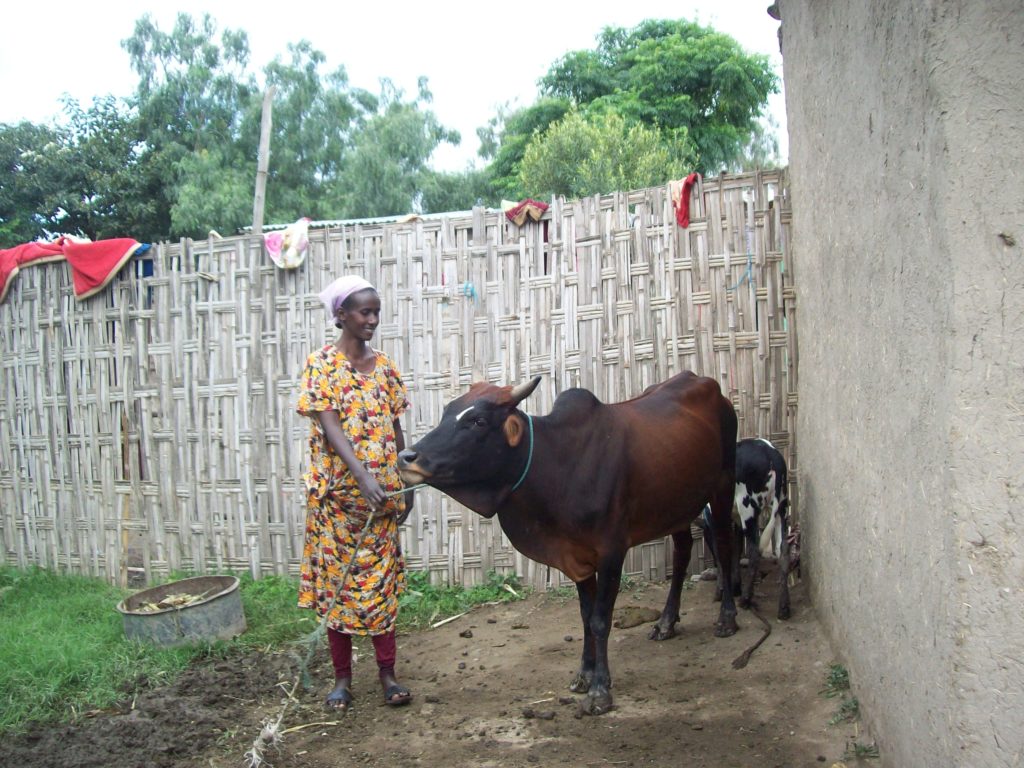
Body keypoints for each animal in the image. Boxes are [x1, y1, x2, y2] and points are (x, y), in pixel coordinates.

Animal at [397, 372, 739, 715]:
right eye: (446, 411)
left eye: (478, 421)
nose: (406, 458)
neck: (559, 465)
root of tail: (704, 382)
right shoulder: (577, 558)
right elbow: (586, 618)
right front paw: (585, 675)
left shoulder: (612, 551)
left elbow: (601, 620)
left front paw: (600, 690)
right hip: (676, 506)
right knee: (682, 552)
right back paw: (666, 623)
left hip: (722, 487)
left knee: (724, 544)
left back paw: (727, 618)